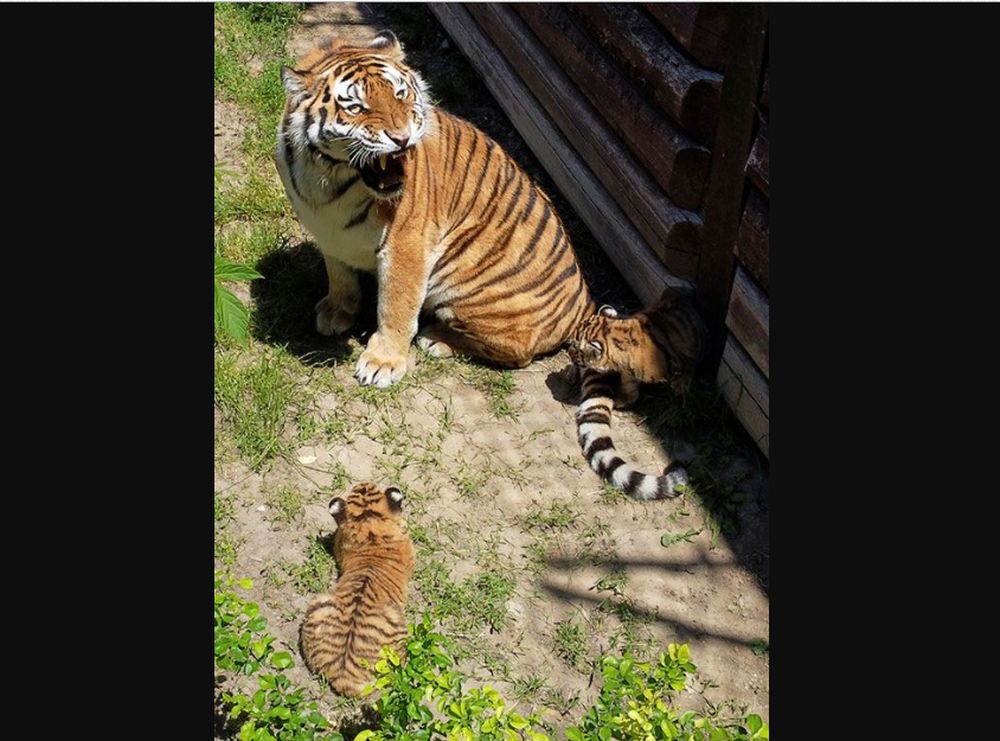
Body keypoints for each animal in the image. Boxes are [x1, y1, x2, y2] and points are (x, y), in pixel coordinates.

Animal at [274, 28, 596, 388]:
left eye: (400, 95)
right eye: (356, 107)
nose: (401, 138)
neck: (329, 181)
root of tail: (583, 306)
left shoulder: (407, 245)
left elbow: (396, 306)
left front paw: (383, 362)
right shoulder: (329, 234)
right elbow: (339, 275)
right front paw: (336, 312)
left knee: (518, 352)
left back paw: (437, 339)